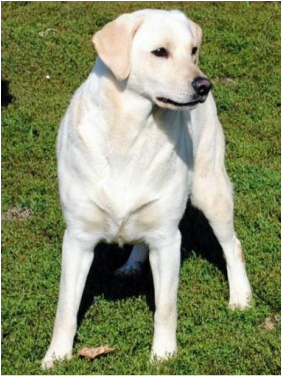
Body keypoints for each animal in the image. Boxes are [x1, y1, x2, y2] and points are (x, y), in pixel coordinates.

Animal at [41, 9, 253, 370]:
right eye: (160, 52)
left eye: (193, 50)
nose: (204, 85)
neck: (131, 132)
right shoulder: (78, 238)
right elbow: (65, 308)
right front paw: (55, 357)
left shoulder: (168, 240)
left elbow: (165, 308)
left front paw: (164, 355)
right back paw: (132, 264)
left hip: (211, 192)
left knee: (232, 246)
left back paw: (240, 297)